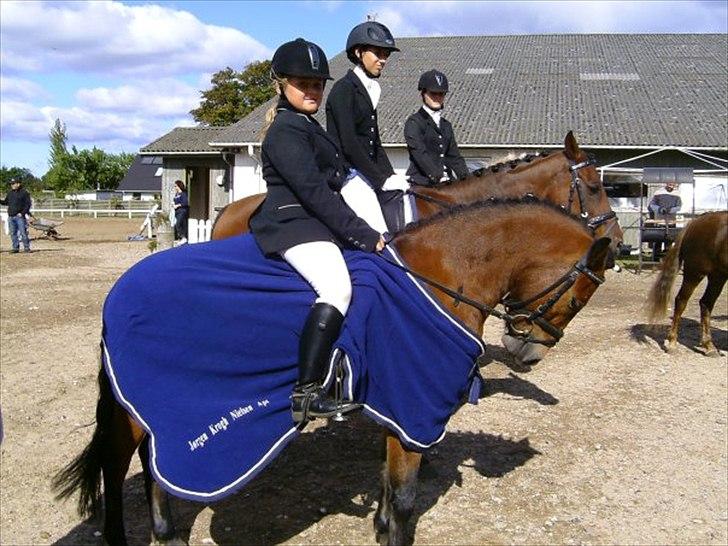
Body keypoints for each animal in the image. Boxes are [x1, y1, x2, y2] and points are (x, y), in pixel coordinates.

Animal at [53, 199, 612, 546]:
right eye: (581, 295)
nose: (528, 353)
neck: (437, 276)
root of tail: (120, 290)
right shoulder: (413, 406)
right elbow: (404, 498)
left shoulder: (395, 404)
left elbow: (387, 489)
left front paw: (379, 526)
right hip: (138, 408)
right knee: (116, 463)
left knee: (150, 468)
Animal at [646, 210, 727, 357]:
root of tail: (694, 223)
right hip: (694, 272)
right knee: (681, 301)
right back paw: (672, 344)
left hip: (718, 276)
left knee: (706, 303)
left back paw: (709, 346)